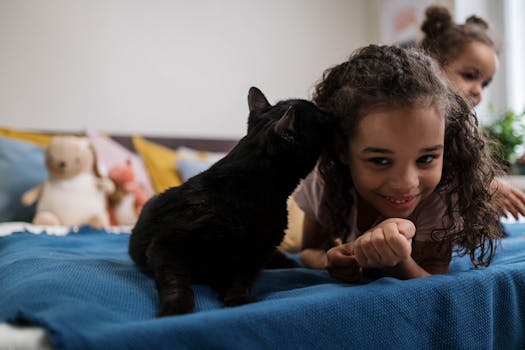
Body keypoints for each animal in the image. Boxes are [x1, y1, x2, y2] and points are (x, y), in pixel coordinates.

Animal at [129, 87, 334, 318]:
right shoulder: (167, 243)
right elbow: (175, 279)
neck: (246, 188)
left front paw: (237, 297)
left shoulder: (257, 252)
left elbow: (241, 277)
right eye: (317, 113)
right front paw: (175, 308)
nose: (328, 111)